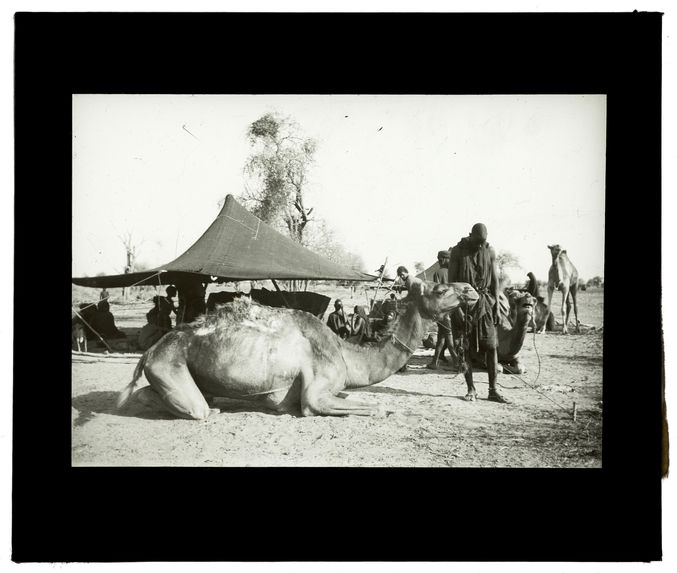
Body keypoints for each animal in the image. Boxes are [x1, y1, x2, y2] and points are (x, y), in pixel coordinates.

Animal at [116, 280, 478, 418]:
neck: (346, 353)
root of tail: (149, 352)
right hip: (169, 364)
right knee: (197, 409)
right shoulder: (316, 392)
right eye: (441, 288)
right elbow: (372, 407)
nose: (471, 289)